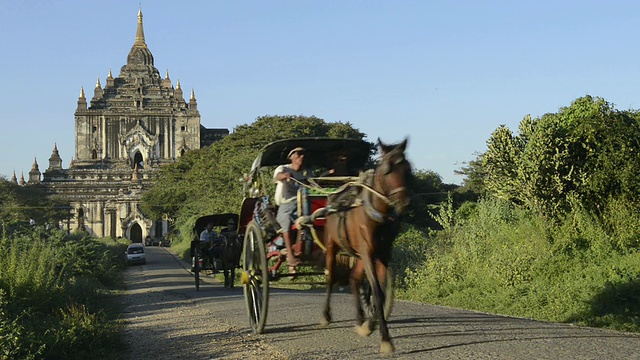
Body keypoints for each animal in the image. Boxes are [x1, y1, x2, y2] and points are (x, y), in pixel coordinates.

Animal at [320, 136, 410, 352]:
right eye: (387, 170)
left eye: (408, 168)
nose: (404, 203)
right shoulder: (368, 252)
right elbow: (376, 291)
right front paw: (385, 339)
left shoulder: (383, 253)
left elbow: (381, 293)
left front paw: (370, 324)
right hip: (332, 245)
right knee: (331, 278)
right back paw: (326, 315)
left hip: (359, 253)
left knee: (353, 279)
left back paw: (361, 319)